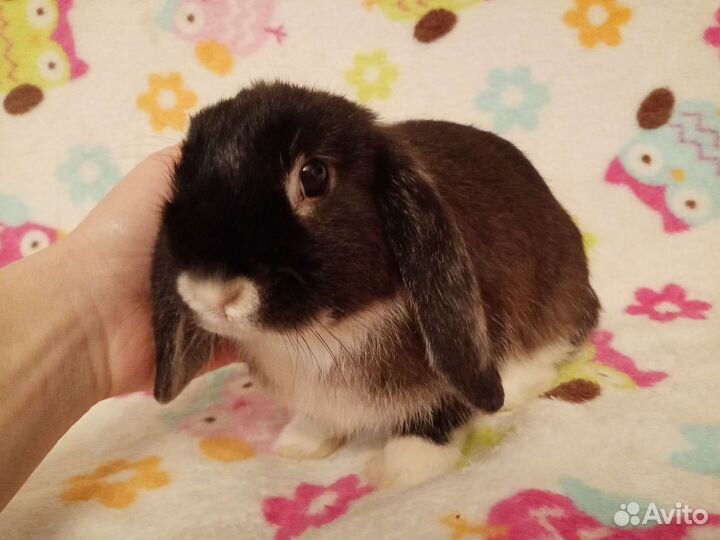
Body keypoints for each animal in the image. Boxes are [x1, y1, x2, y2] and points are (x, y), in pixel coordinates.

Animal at [151, 81, 600, 486]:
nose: (212, 294)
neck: (326, 332)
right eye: (181, 177)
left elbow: (444, 406)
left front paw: (408, 465)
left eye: (314, 176)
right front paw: (301, 443)